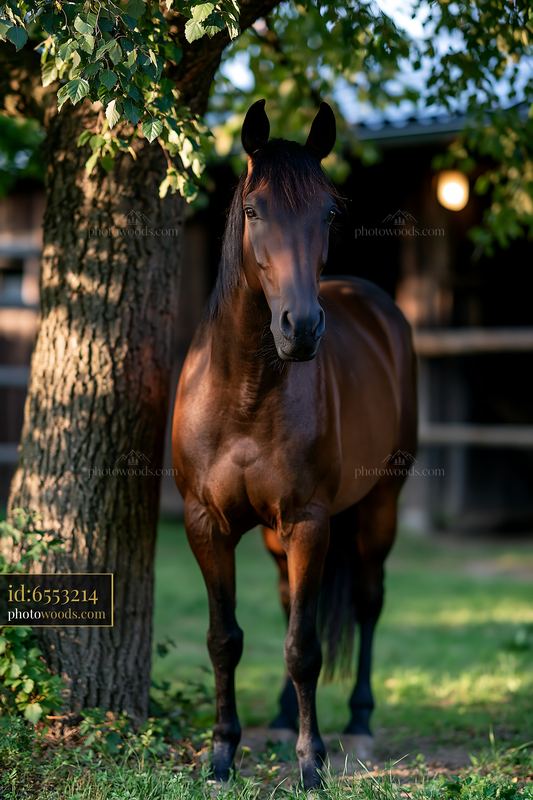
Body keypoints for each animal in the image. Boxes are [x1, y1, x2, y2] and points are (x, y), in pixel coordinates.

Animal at [172, 99, 417, 789]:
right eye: (255, 210)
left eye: (328, 213)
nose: (301, 328)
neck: (243, 393)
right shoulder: (206, 525)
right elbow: (225, 639)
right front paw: (222, 756)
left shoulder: (310, 522)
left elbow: (304, 648)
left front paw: (313, 764)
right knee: (288, 601)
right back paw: (283, 720)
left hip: (380, 506)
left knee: (367, 602)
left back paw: (358, 725)